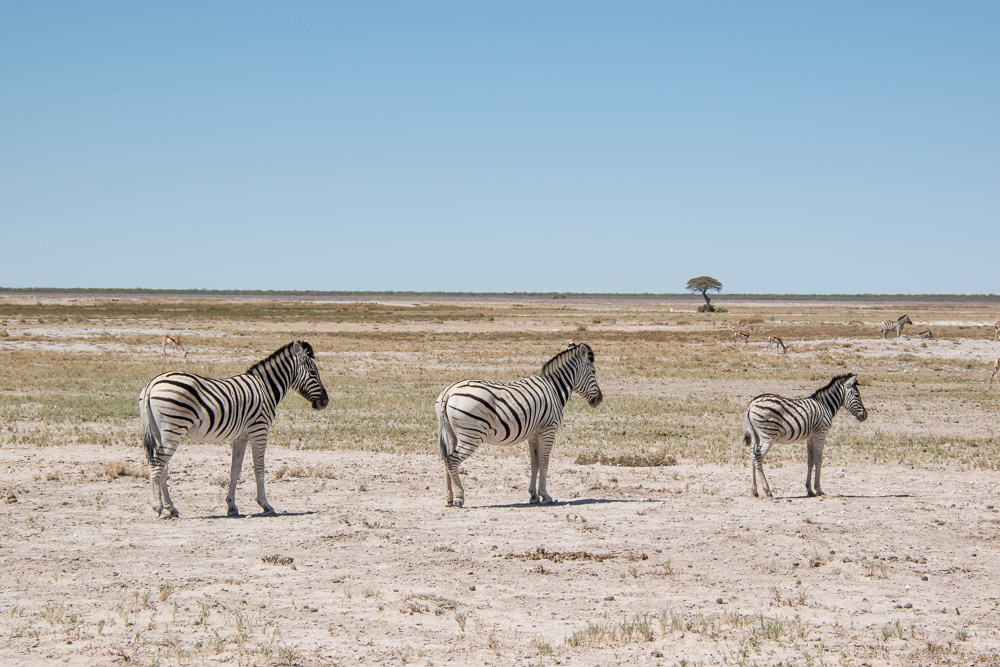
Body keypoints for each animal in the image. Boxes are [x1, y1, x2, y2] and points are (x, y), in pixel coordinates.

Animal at [139, 342, 328, 520]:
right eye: (313, 373)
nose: (325, 402)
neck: (265, 388)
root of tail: (152, 383)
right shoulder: (259, 431)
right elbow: (259, 468)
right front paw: (265, 504)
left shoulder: (241, 437)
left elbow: (235, 470)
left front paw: (231, 506)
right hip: (173, 429)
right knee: (157, 465)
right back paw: (158, 507)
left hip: (159, 432)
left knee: (162, 467)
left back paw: (172, 508)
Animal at [436, 344, 600, 506]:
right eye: (593, 371)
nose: (599, 399)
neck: (554, 389)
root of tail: (449, 392)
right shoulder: (548, 431)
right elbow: (544, 462)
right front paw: (545, 495)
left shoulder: (533, 435)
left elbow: (535, 463)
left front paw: (533, 496)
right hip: (472, 435)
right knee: (452, 460)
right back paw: (459, 497)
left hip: (451, 434)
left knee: (446, 460)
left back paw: (449, 498)